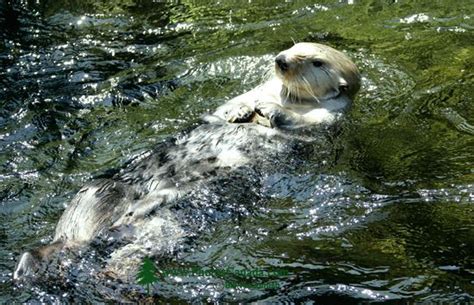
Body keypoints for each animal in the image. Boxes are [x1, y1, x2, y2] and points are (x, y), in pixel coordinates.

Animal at [13, 42, 360, 280]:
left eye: (316, 61)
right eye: (293, 47)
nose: (281, 61)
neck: (285, 97)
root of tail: (111, 229)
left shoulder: (326, 120)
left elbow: (300, 124)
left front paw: (270, 112)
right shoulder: (251, 92)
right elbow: (227, 107)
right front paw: (241, 110)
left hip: (169, 226)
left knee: (132, 252)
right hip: (100, 191)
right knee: (70, 235)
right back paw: (31, 265)